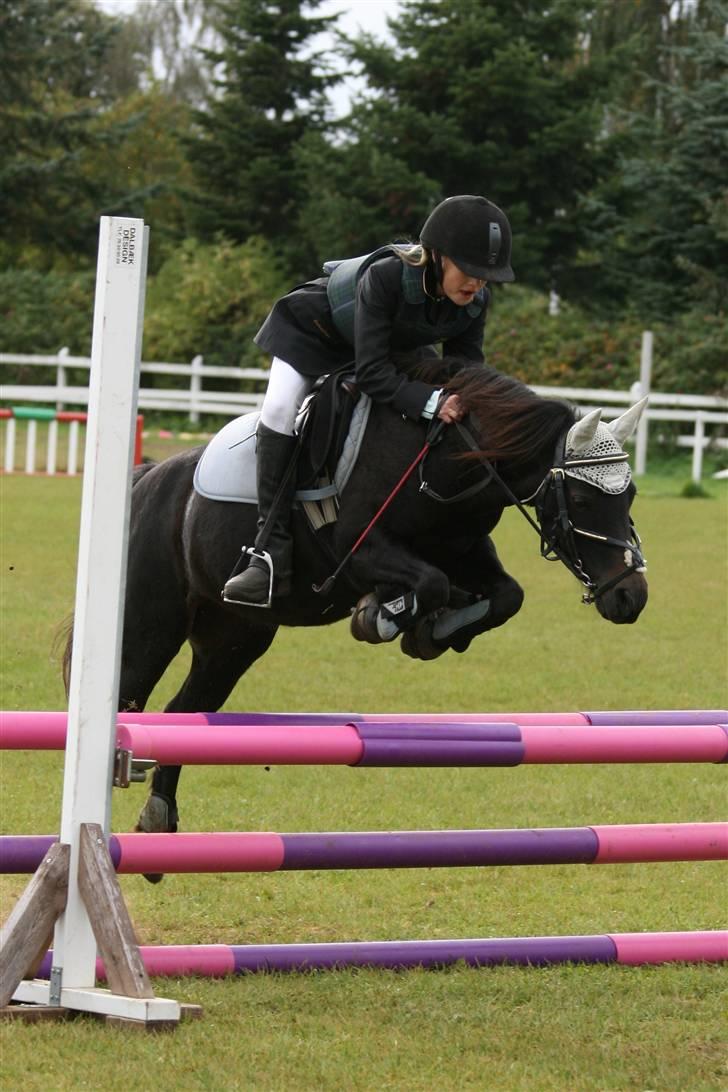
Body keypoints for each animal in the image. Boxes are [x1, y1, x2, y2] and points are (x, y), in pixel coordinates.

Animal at [63, 358, 648, 877]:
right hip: (149, 629)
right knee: (131, 702)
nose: (630, 597)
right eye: (580, 498)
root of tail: (147, 479)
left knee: (182, 714)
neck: (446, 463)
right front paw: (385, 615)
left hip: (233, 640)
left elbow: (506, 595)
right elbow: (429, 583)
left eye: (632, 495)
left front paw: (434, 629)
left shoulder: (466, 548)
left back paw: (158, 819)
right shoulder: (357, 549)